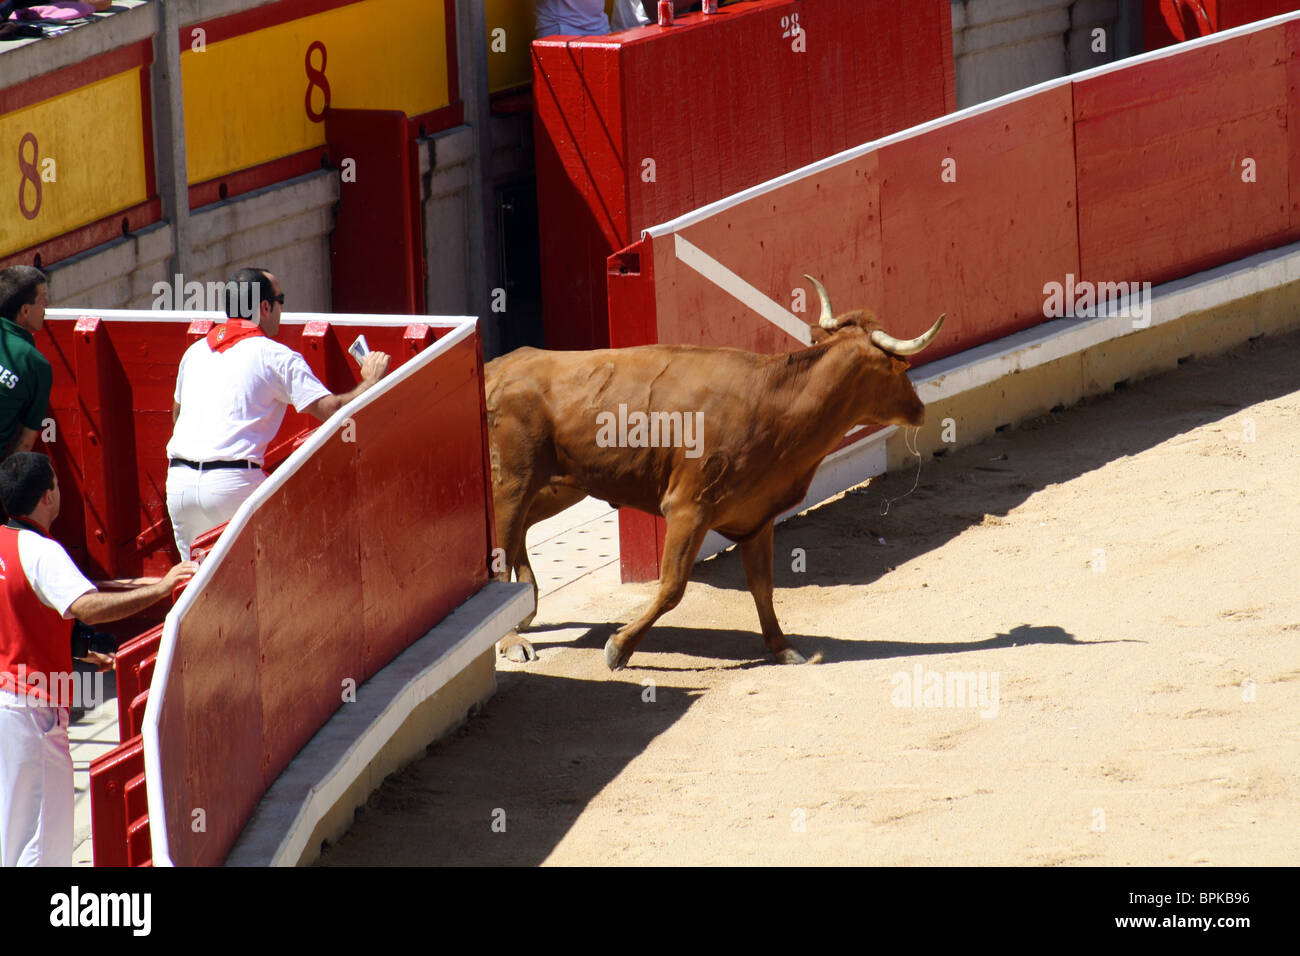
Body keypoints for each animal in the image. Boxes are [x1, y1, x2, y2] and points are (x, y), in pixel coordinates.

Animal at [483, 277, 941, 671]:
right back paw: (512, 640)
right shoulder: (689, 509)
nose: (920, 408)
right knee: (502, 550)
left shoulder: (757, 515)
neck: (777, 403)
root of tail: (497, 368)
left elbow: (763, 586)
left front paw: (783, 647)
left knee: (522, 530)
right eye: (901, 369)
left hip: (561, 487)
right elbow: (672, 587)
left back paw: (526, 613)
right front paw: (619, 647)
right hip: (511, 484)